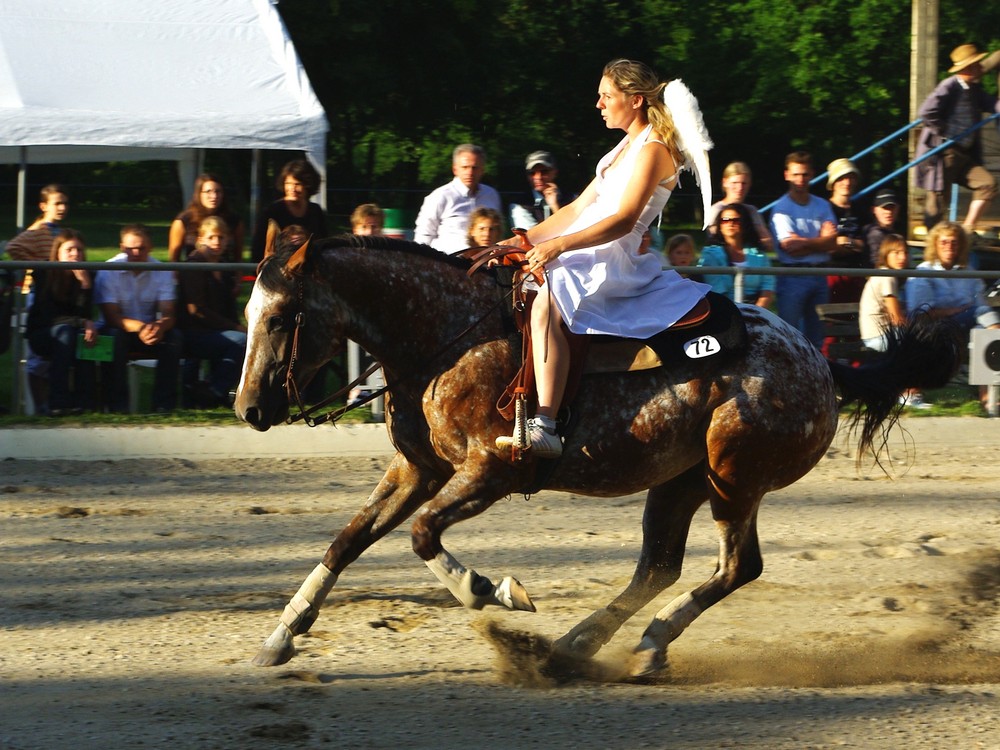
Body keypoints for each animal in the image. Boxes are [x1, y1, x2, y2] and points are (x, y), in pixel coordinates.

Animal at [234, 232, 960, 680]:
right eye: (247, 315)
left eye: (281, 318)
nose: (247, 410)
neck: (445, 335)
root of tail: (820, 359)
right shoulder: (420, 469)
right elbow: (349, 539)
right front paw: (282, 635)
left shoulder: (490, 471)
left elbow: (422, 535)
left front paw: (493, 590)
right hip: (681, 481)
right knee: (660, 567)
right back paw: (580, 647)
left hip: (734, 478)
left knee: (736, 567)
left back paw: (640, 646)